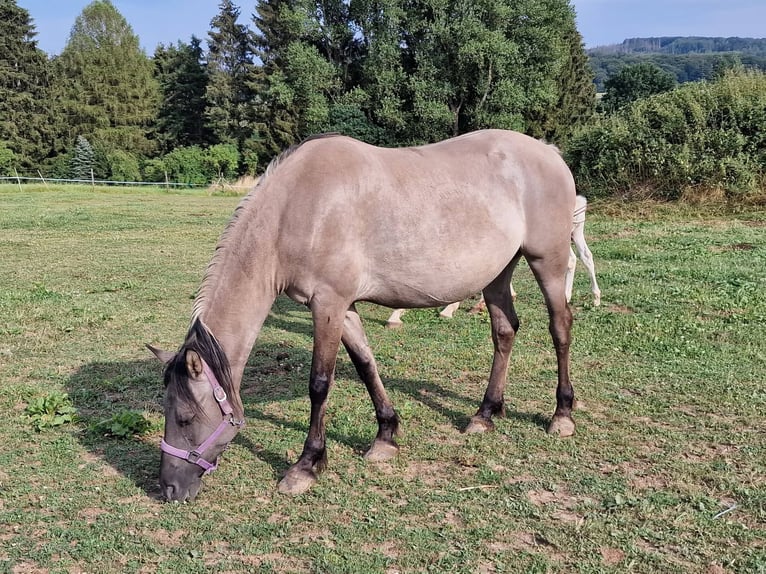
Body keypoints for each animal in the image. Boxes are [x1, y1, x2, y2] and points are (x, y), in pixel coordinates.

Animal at [150, 130, 580, 504]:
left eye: (185, 418)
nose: (169, 488)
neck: (297, 207)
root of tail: (548, 151)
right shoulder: (345, 307)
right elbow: (366, 365)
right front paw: (385, 436)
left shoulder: (327, 303)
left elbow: (320, 384)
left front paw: (307, 465)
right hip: (498, 273)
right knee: (505, 331)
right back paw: (486, 413)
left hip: (549, 261)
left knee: (560, 327)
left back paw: (561, 415)